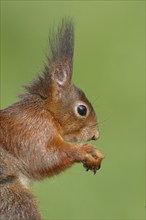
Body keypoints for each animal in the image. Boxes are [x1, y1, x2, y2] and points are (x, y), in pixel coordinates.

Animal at [0, 18, 105, 219]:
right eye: (82, 109)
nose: (96, 135)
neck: (45, 110)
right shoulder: (30, 130)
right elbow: (43, 158)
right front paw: (84, 150)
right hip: (15, 201)